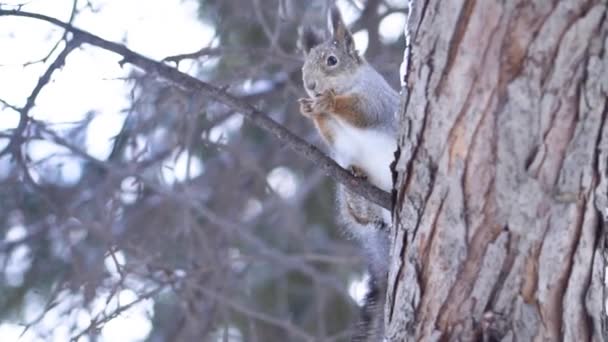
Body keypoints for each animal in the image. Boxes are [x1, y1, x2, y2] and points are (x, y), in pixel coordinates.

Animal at [296, 5, 400, 342]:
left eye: (332, 60)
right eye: (304, 65)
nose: (310, 86)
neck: (346, 85)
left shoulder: (375, 101)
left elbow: (360, 112)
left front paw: (327, 102)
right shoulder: (337, 138)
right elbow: (329, 132)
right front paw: (310, 109)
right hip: (349, 195)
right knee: (360, 214)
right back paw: (359, 190)